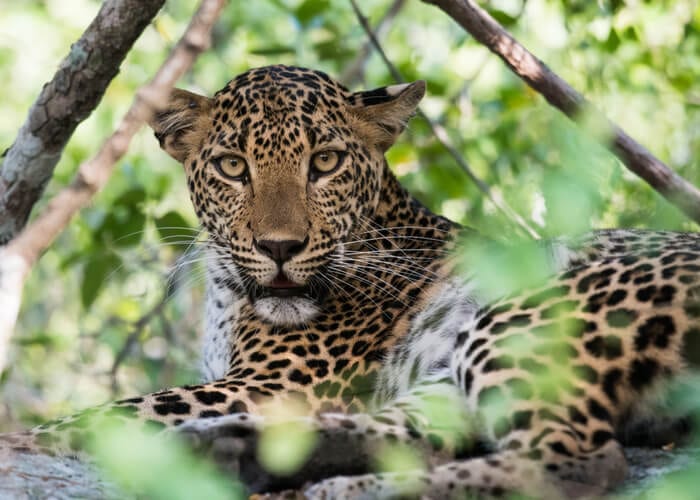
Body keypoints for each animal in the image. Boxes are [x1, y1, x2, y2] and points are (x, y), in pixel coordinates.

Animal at [1, 64, 699, 500]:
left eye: (326, 162)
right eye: (232, 167)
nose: (280, 248)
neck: (230, 294)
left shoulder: (273, 382)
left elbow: (108, 413)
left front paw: (29, 440)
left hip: (527, 313)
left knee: (574, 461)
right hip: (447, 371)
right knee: (423, 439)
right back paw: (231, 449)